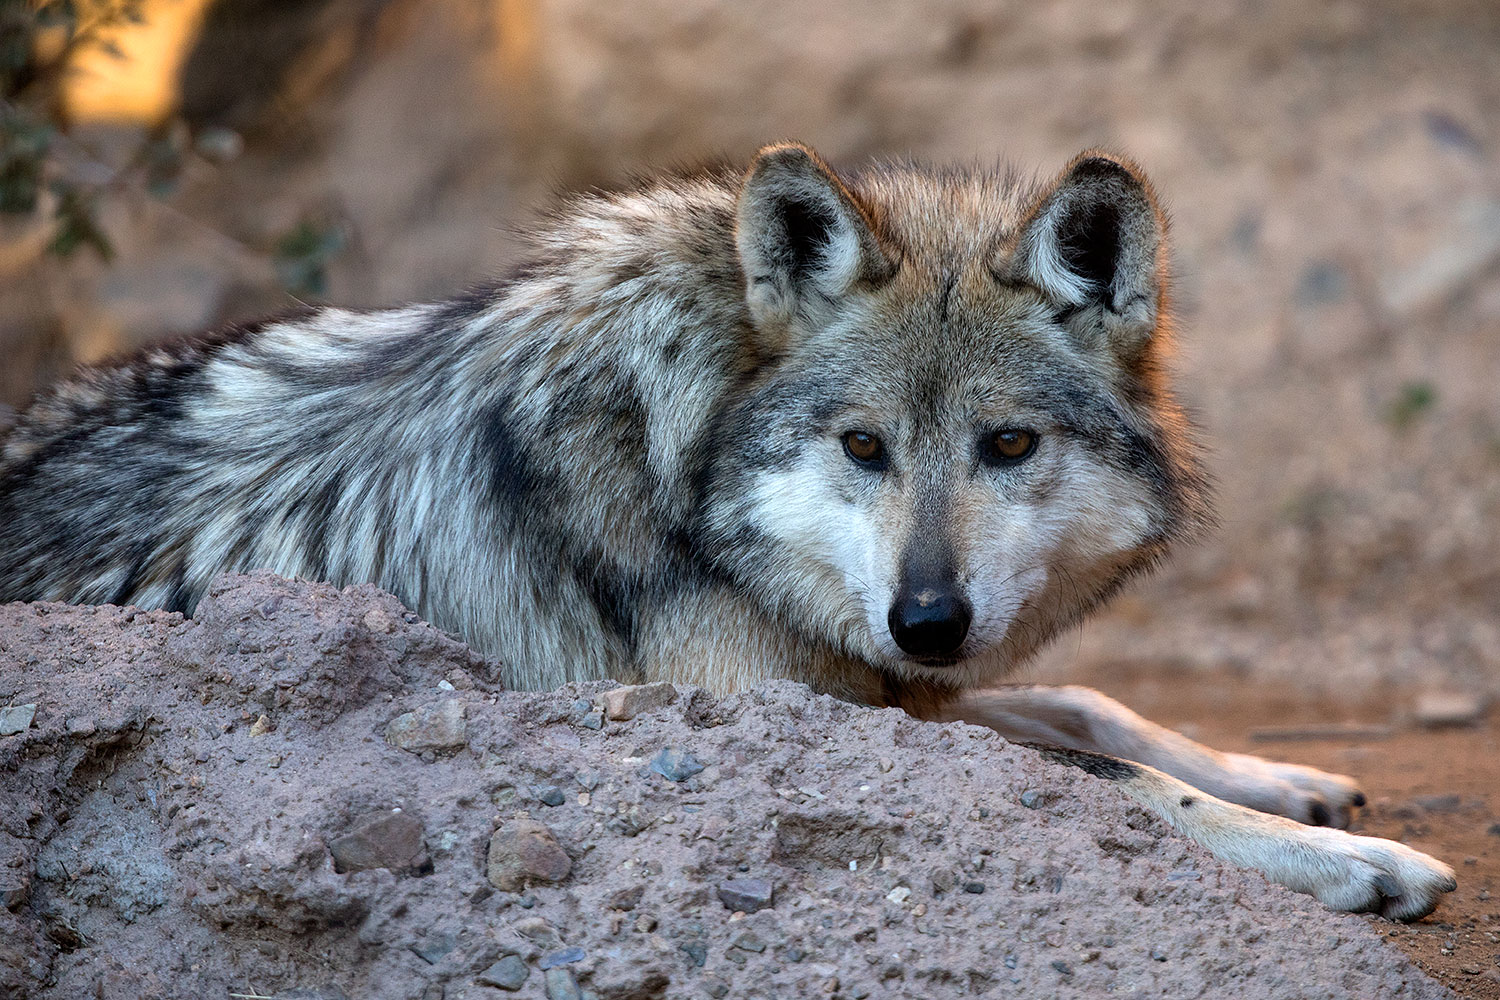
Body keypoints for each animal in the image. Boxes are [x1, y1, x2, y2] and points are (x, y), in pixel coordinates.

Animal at [0, 142, 1455, 920]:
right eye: (862, 447)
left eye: (1008, 445)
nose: (930, 619)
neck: (686, 457)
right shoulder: (786, 706)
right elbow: (1099, 774)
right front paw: (1348, 859)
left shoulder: (874, 680)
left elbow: (1091, 708)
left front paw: (1283, 778)